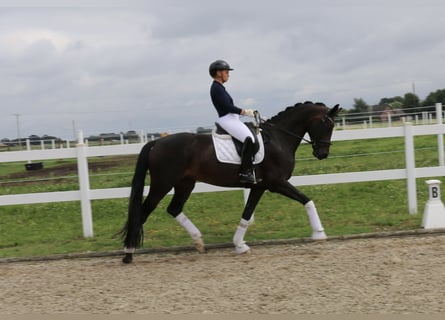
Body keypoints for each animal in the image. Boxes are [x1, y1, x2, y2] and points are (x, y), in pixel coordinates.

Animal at [120, 102, 340, 262]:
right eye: (327, 125)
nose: (322, 153)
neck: (279, 139)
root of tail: (156, 142)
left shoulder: (259, 187)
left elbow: (247, 213)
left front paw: (239, 245)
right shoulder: (276, 183)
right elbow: (307, 200)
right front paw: (319, 234)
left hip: (185, 183)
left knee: (174, 209)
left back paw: (199, 242)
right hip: (162, 184)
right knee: (143, 211)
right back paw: (128, 253)